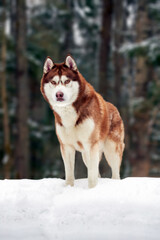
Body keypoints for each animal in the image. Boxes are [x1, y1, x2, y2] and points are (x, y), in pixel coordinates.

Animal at [40, 54, 125, 188]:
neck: (69, 114)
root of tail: (114, 108)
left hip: (111, 150)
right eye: (53, 82)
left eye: (67, 81)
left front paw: (92, 189)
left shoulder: (91, 145)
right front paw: (69, 188)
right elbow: (70, 174)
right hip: (86, 155)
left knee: (115, 173)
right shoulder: (66, 146)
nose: (59, 94)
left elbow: (92, 175)